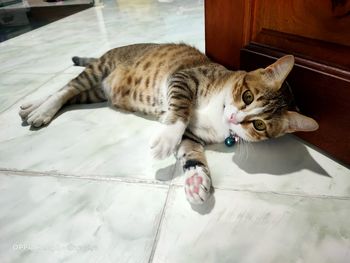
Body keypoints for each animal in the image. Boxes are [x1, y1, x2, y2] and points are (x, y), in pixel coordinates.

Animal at [19, 43, 320, 206]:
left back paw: (31, 107)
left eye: (258, 125)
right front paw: (165, 139)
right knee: (65, 88)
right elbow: (180, 109)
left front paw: (197, 179)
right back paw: (40, 110)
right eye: (247, 96)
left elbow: (190, 151)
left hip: (96, 92)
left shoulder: (195, 136)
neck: (218, 109)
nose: (235, 119)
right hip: (99, 69)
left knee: (71, 95)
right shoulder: (183, 78)